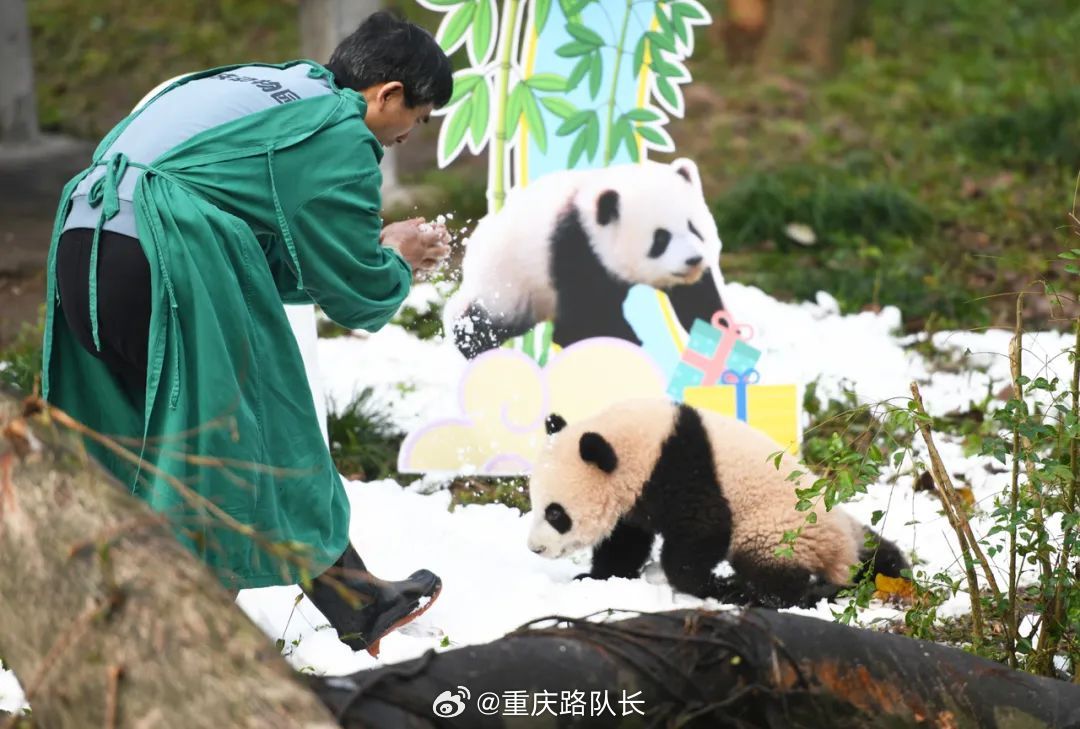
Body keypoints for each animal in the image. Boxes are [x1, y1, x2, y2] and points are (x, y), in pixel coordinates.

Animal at [438, 157, 725, 358]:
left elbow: (697, 299)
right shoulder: (573, 249)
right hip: (506, 287)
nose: (693, 260)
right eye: (661, 239)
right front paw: (627, 342)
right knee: (478, 322)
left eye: (694, 228)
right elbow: (585, 317)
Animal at [527, 399, 907, 609]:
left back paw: (750, 594)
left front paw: (704, 585)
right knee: (879, 551)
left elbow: (704, 530)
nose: (535, 549)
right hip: (847, 529)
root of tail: (842, 554)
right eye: (535, 505)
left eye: (556, 513)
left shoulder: (683, 471)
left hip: (778, 529)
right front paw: (596, 576)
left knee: (774, 572)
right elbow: (626, 539)